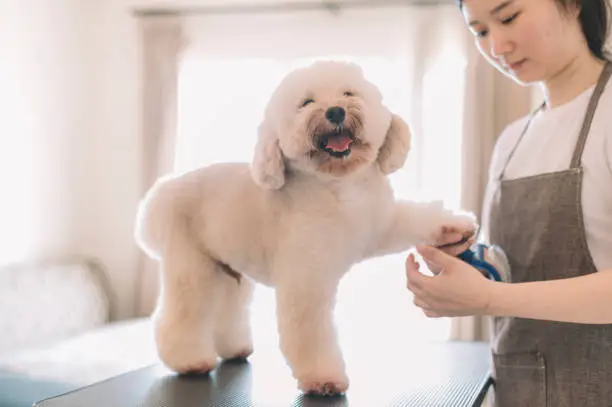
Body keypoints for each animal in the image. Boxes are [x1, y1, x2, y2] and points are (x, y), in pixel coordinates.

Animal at [135, 62, 478, 396]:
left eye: (348, 93)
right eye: (307, 103)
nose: (335, 111)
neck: (339, 188)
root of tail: (163, 193)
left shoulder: (380, 222)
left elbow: (414, 218)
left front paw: (454, 227)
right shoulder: (307, 278)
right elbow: (309, 331)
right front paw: (323, 379)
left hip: (230, 271)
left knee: (229, 309)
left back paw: (234, 348)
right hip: (193, 268)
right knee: (181, 315)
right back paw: (189, 361)